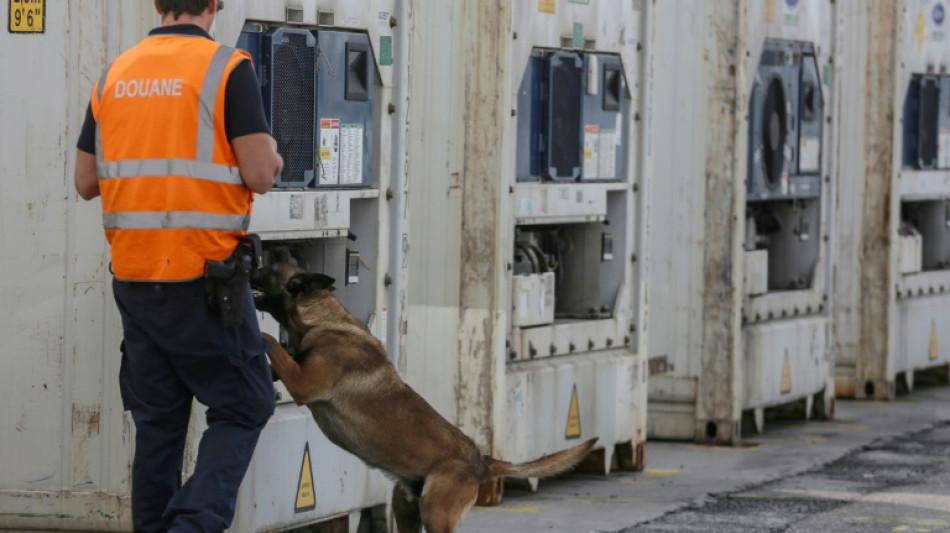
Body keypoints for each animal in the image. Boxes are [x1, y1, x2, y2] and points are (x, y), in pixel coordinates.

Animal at [253, 262, 596, 532]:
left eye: (267, 269)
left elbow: (272, 340)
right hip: (405, 507)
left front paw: (259, 335)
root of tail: (481, 461)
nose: (247, 260)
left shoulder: (303, 383)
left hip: (435, 513)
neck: (324, 319)